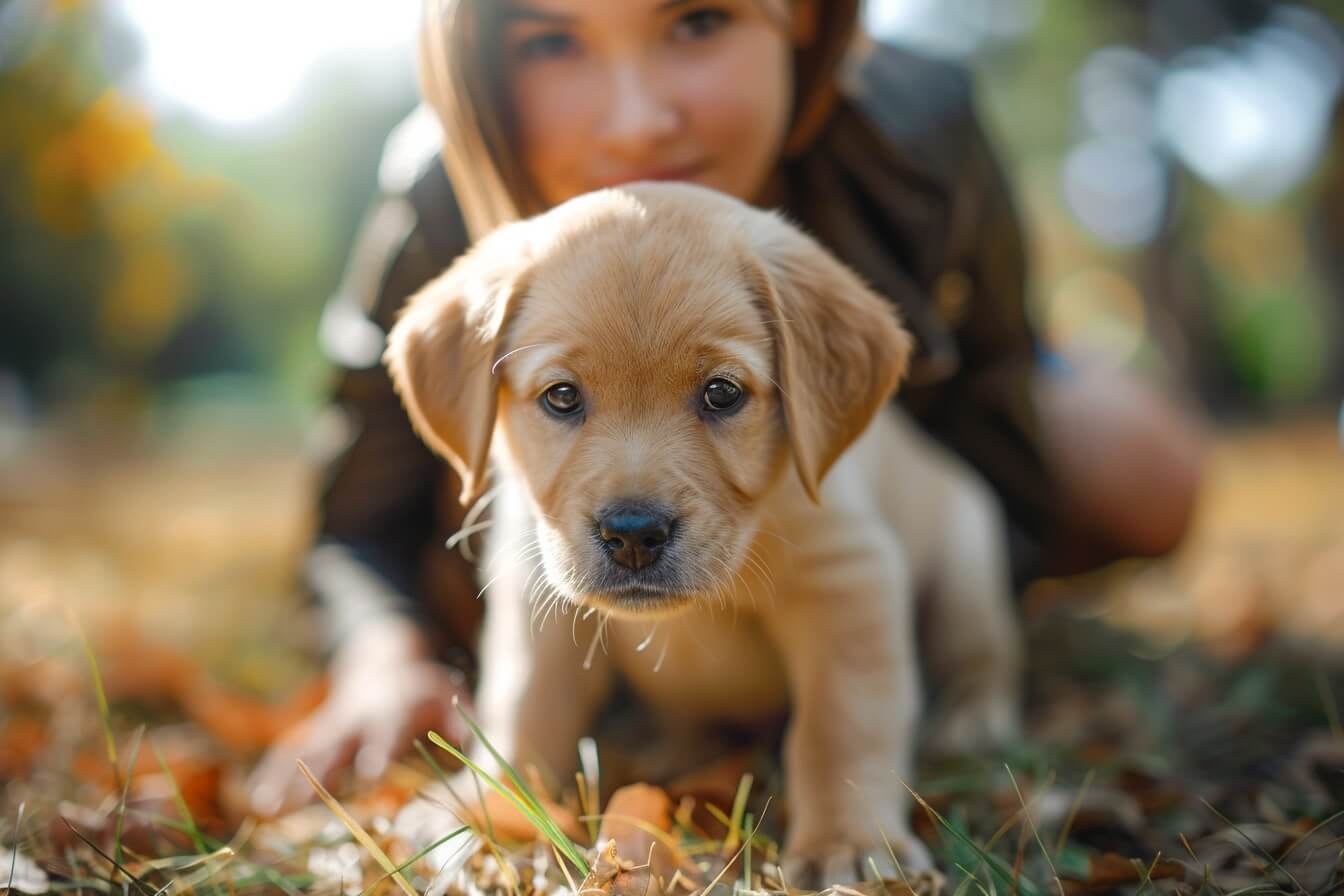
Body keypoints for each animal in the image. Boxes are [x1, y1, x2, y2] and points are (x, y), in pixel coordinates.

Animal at [384, 180, 1021, 881]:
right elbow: (524, 708)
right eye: (561, 396)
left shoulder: (848, 578)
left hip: (968, 555)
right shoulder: (535, 584)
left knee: (983, 653)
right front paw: (486, 810)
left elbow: (841, 724)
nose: (633, 534)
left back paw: (973, 717)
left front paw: (846, 844)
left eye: (722, 393)